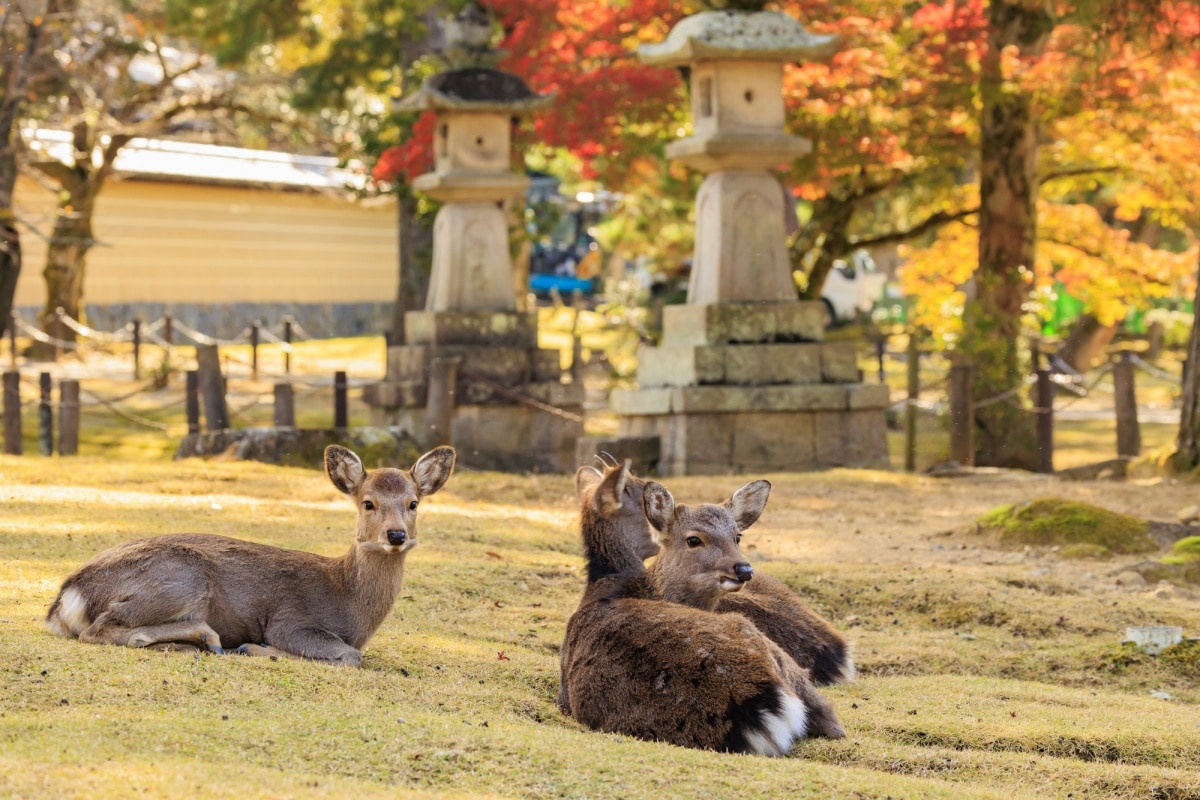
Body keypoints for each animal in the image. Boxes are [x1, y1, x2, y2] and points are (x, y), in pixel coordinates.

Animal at [45, 443, 453, 671]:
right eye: (368, 502)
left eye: (413, 503)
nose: (396, 535)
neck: (349, 602)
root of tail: (66, 599)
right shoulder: (291, 619)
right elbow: (350, 657)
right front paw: (257, 649)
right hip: (181, 578)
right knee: (99, 629)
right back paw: (208, 638)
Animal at [554, 462, 844, 758]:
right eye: (693, 539)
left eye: (737, 536)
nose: (744, 569)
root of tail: (762, 705)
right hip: (755, 634)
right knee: (831, 719)